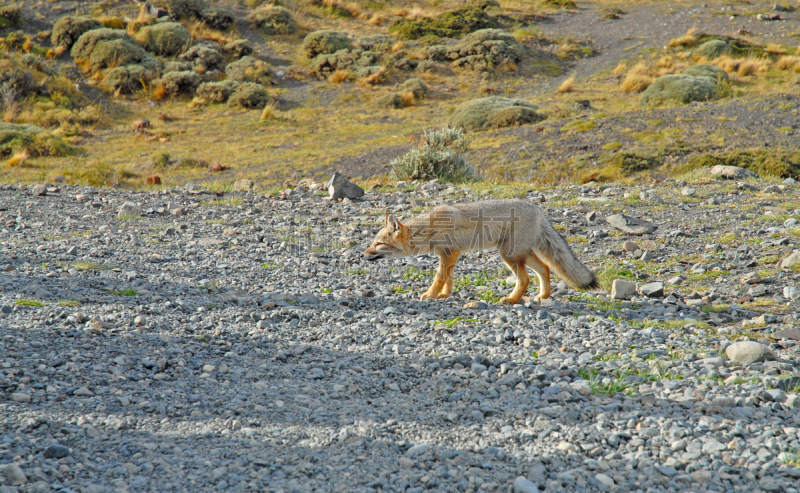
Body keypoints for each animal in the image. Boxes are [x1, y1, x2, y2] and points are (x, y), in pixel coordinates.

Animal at [362, 198, 592, 302]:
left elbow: (439, 278)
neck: (428, 228)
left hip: (509, 256)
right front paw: (444, 295)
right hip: (521, 255)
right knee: (545, 268)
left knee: (526, 279)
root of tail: (538, 209)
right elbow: (449, 278)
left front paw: (430, 294)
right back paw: (543, 296)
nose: (362, 255)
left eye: (378, 244)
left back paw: (511, 300)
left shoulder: (449, 254)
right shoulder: (450, 256)